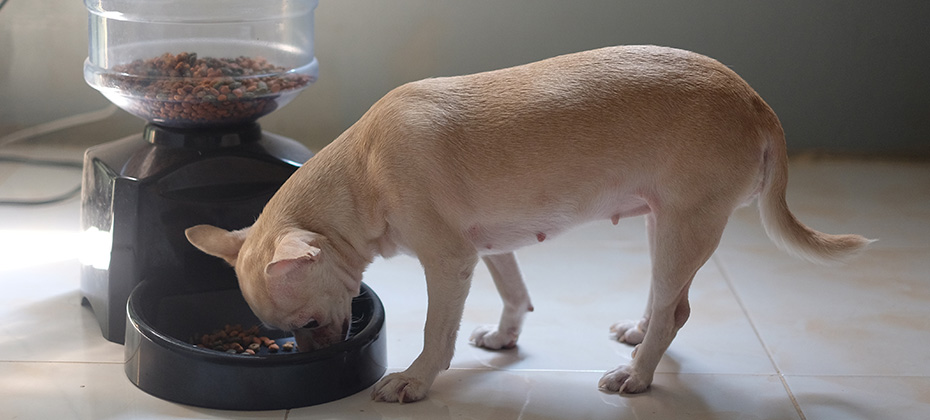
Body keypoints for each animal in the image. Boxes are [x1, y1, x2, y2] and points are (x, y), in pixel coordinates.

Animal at [183, 46, 872, 404]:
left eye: (305, 325)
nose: (311, 358)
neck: (362, 169)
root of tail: (756, 101)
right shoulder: (487, 247)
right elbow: (515, 292)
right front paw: (505, 336)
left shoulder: (449, 262)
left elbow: (435, 330)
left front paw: (414, 379)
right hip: (665, 224)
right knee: (668, 299)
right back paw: (638, 334)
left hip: (684, 225)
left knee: (675, 310)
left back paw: (638, 374)